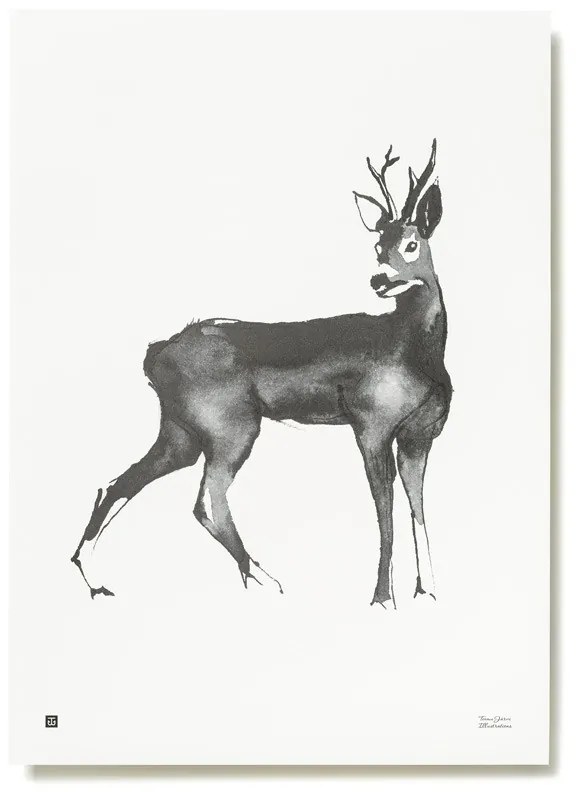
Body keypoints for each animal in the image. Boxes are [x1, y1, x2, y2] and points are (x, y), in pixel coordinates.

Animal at [72, 140, 451, 609]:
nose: (379, 280)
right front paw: (383, 599)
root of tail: (155, 353)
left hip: (181, 433)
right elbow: (386, 512)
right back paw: (268, 581)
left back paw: (96, 583)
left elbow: (418, 507)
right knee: (206, 500)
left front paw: (428, 593)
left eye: (412, 243)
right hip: (230, 426)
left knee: (117, 484)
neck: (413, 352)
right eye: (379, 246)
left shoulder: (421, 434)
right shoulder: (371, 425)